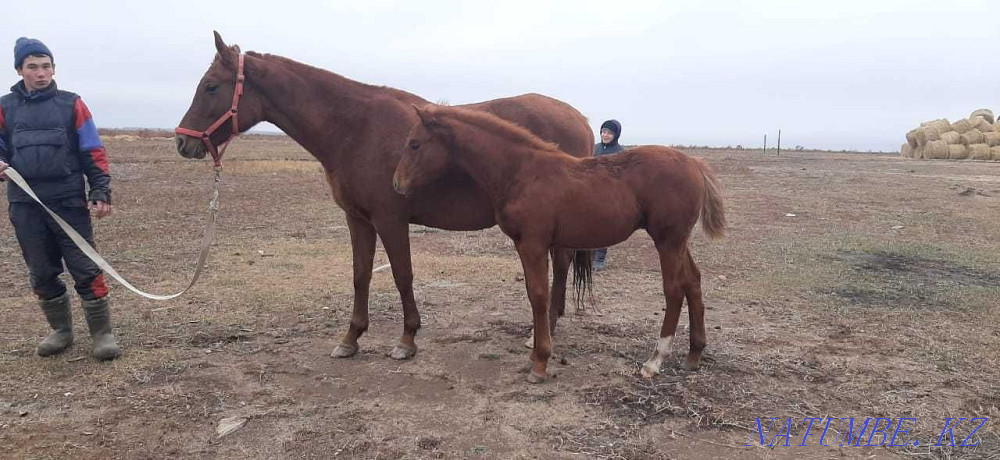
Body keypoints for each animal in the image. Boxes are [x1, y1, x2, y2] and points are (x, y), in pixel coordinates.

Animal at [174, 32, 595, 361]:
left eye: (211, 86)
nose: (182, 142)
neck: (355, 128)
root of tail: (580, 119)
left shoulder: (390, 219)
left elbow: (402, 274)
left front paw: (407, 339)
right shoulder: (358, 218)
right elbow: (360, 274)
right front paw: (351, 338)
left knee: (560, 265)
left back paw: (543, 330)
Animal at [393, 104, 726, 383]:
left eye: (415, 144)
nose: (396, 184)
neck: (521, 172)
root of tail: (694, 162)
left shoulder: (533, 243)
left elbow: (539, 295)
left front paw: (540, 362)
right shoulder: (525, 245)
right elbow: (534, 293)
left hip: (668, 241)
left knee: (674, 290)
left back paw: (655, 360)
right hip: (678, 241)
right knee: (693, 281)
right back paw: (694, 354)